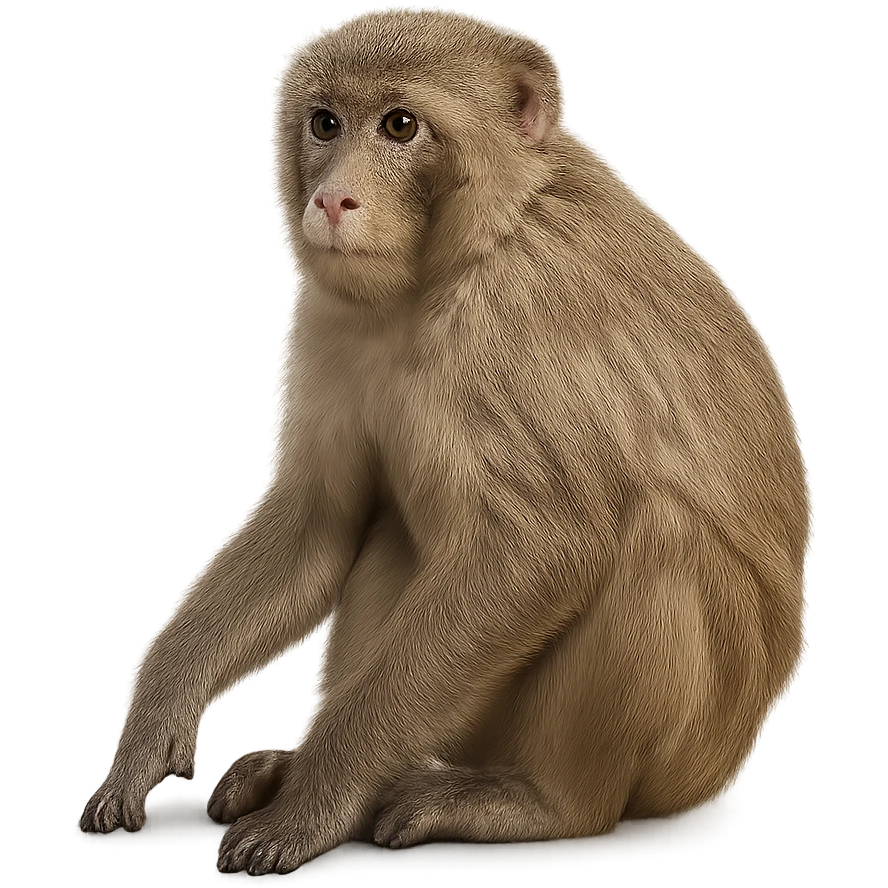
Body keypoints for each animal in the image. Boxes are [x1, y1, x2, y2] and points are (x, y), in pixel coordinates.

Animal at [78, 5, 813, 876]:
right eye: (326, 123)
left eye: (401, 126)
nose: (335, 199)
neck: (462, 254)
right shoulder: (333, 314)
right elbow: (320, 520)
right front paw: (156, 719)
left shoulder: (513, 317)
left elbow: (542, 547)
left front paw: (319, 799)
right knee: (392, 530)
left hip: (684, 754)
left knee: (656, 539)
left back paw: (535, 801)